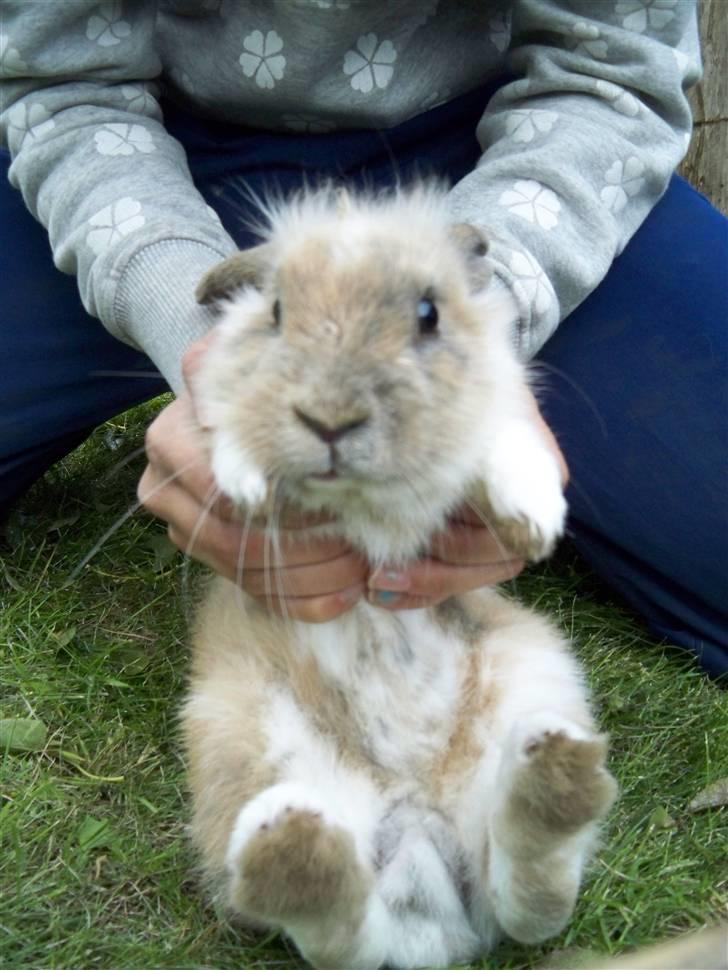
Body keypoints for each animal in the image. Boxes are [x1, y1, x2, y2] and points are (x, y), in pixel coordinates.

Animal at [181, 183, 616, 968]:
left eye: (428, 313)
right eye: (276, 312)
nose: (330, 420)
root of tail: (419, 832)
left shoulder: (489, 414)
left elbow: (501, 437)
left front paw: (532, 519)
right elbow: (230, 425)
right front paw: (248, 482)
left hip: (535, 676)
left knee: (524, 899)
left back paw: (554, 777)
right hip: (240, 739)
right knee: (340, 931)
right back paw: (294, 848)